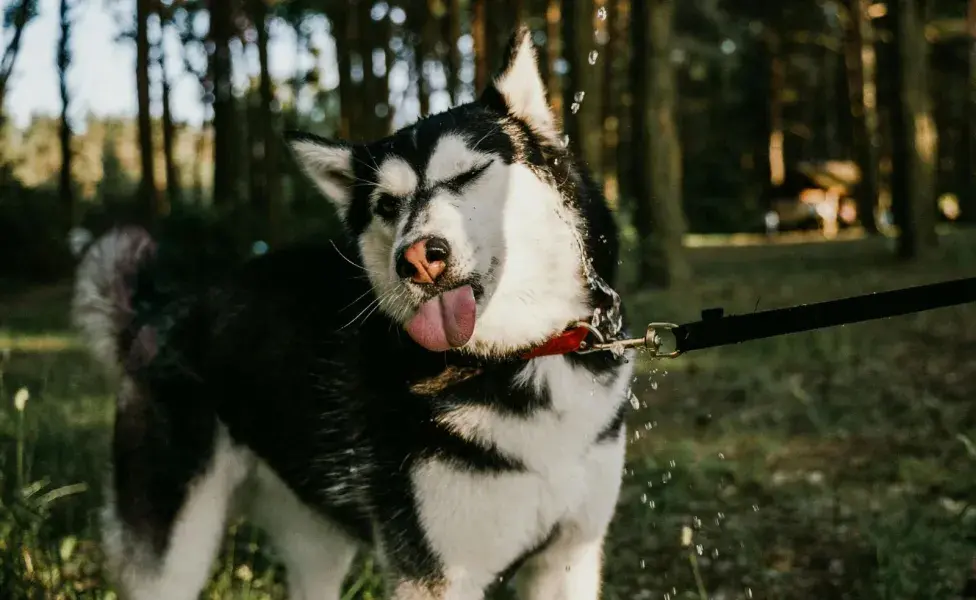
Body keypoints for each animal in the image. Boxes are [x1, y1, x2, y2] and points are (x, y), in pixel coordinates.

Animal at [74, 27, 632, 600]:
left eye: (468, 173)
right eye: (386, 205)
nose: (417, 259)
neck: (520, 357)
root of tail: (155, 311)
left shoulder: (568, 560)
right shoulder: (434, 575)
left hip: (314, 540)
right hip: (174, 552)